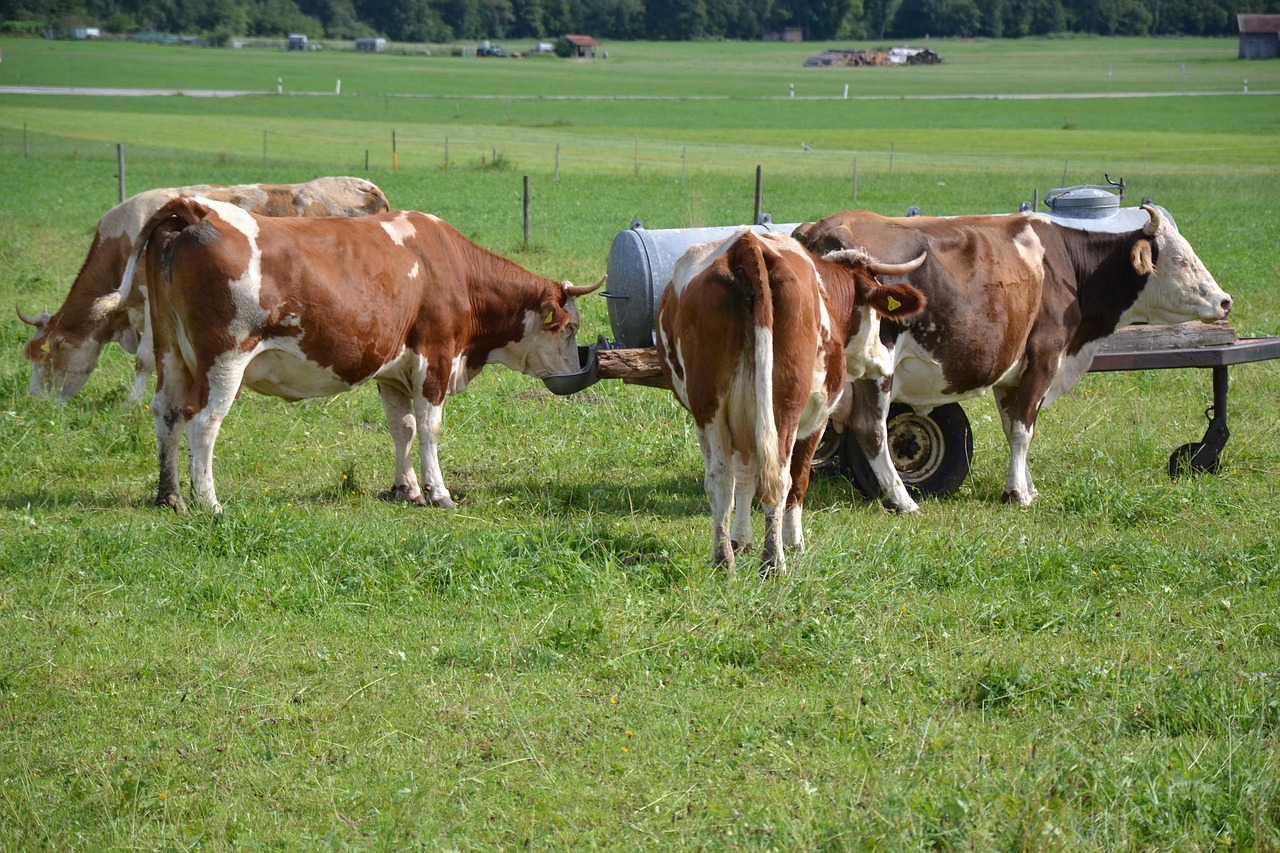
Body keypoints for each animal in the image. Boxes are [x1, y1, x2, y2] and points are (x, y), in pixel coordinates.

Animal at [19, 176, 390, 404]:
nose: (36, 402)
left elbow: (144, 359)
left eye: (49, 357)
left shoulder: (150, 305)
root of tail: (365, 186)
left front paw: (131, 403)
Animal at [92, 196, 602, 515]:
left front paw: (405, 490)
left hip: (170, 353)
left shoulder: (394, 370)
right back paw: (209, 502)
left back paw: (170, 496)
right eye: (570, 326)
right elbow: (430, 429)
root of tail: (195, 207)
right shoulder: (435, 359)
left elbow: (403, 428)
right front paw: (437, 492)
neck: (451, 267)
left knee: (167, 413)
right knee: (202, 421)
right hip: (224, 362)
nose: (575, 372)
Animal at [656, 228, 926, 577]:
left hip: (710, 408)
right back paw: (774, 562)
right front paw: (794, 543)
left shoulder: (743, 422)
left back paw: (723, 561)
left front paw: (740, 540)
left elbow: (745, 477)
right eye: (878, 317)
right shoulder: (817, 419)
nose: (884, 361)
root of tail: (747, 245)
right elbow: (799, 479)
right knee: (780, 480)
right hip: (784, 407)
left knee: (720, 480)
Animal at [791, 204, 1234, 511]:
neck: (1066, 265)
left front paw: (1027, 484)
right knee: (872, 430)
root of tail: (819, 228)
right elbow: (1024, 429)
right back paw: (903, 500)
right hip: (877, 369)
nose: (1225, 300)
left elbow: (1014, 427)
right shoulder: (1044, 356)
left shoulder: (1011, 374)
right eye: (1180, 260)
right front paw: (1018, 492)